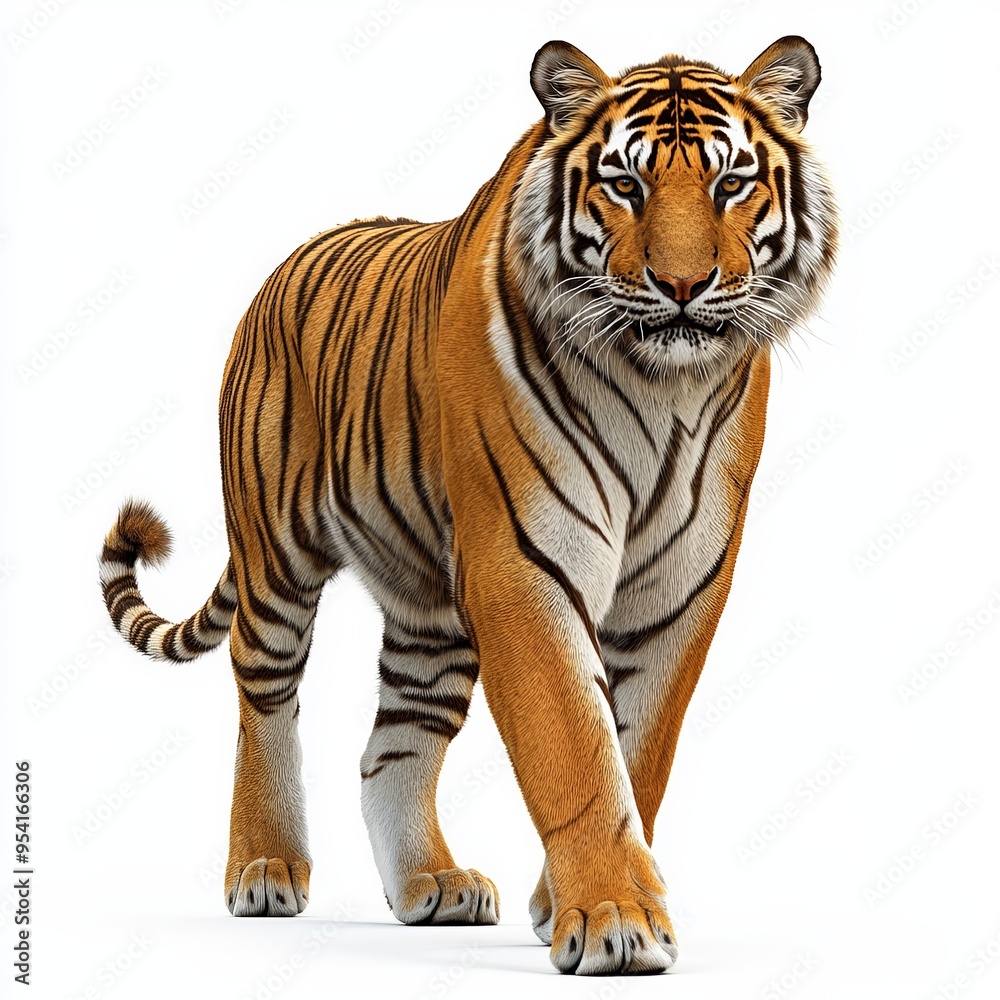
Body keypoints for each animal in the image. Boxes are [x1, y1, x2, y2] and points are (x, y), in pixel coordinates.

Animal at [99, 36, 837, 975]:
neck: (661, 385)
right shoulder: (525, 564)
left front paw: (563, 902)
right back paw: (264, 867)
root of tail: (289, 260)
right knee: (263, 696)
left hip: (431, 607)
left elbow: (640, 751)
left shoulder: (682, 587)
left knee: (391, 746)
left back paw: (431, 885)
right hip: (276, 559)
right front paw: (614, 919)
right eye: (624, 183)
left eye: (731, 182)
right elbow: (575, 745)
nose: (682, 284)